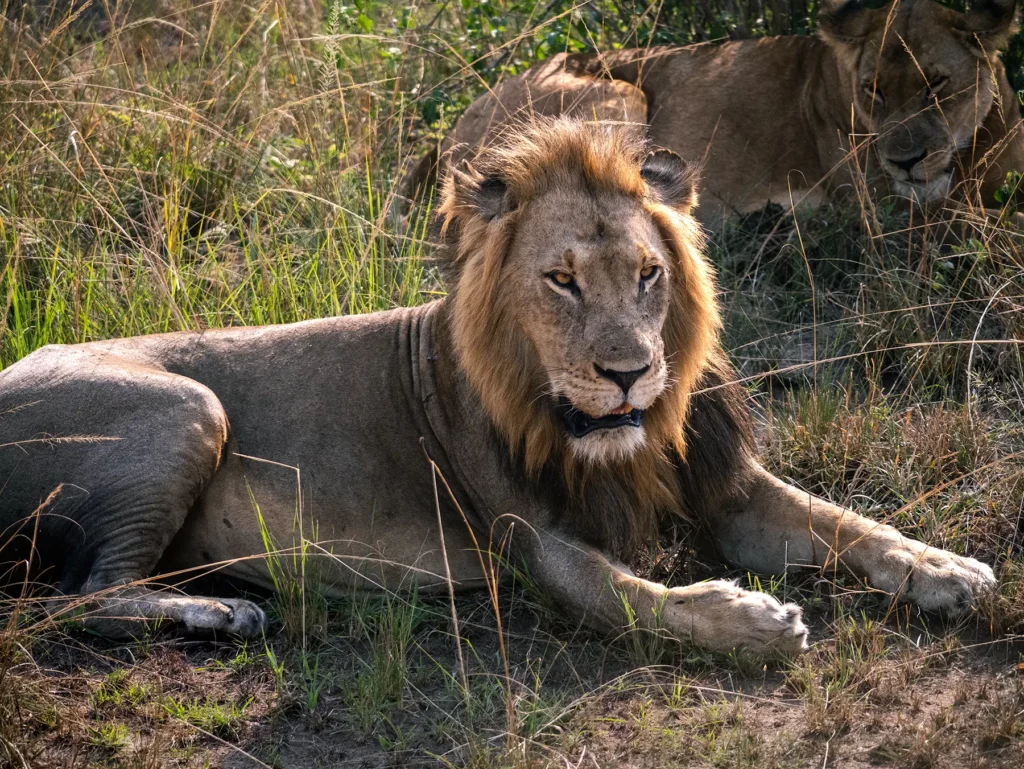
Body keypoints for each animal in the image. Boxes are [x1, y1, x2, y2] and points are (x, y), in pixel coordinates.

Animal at [0, 120, 996, 653]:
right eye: (561, 281)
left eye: (648, 274)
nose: (628, 372)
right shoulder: (531, 538)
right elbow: (634, 598)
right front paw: (750, 621)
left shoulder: (721, 486)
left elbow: (846, 522)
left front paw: (944, 567)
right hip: (189, 409)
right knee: (74, 598)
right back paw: (220, 608)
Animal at [407, 0, 1024, 225]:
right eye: (873, 90)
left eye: (937, 84)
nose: (905, 162)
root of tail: (449, 130)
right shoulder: (887, 215)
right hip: (619, 95)